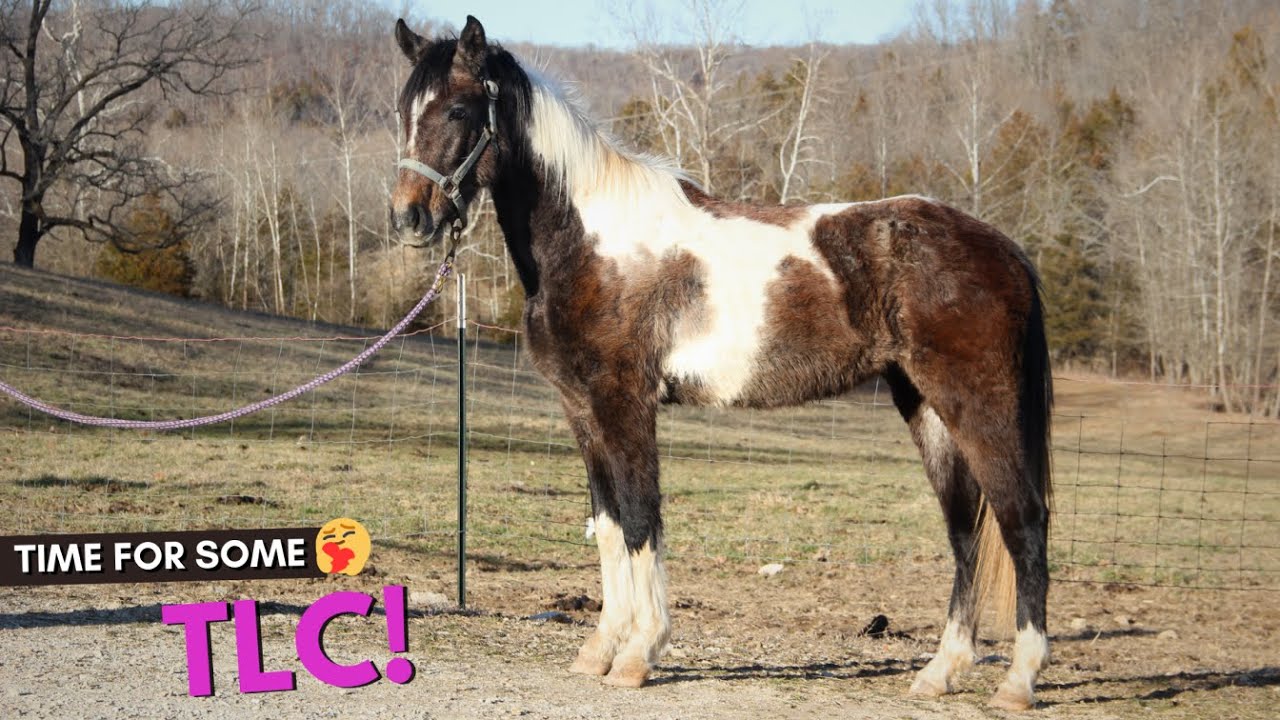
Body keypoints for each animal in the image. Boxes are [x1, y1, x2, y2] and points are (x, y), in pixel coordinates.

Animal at [389, 16, 1054, 711]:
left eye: (459, 109)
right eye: (402, 111)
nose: (410, 219)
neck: (593, 243)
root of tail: (1005, 250)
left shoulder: (625, 403)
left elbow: (640, 520)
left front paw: (638, 654)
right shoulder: (583, 409)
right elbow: (608, 526)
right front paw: (598, 651)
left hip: (977, 407)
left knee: (1023, 521)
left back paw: (1018, 681)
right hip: (925, 408)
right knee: (965, 531)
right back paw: (940, 671)